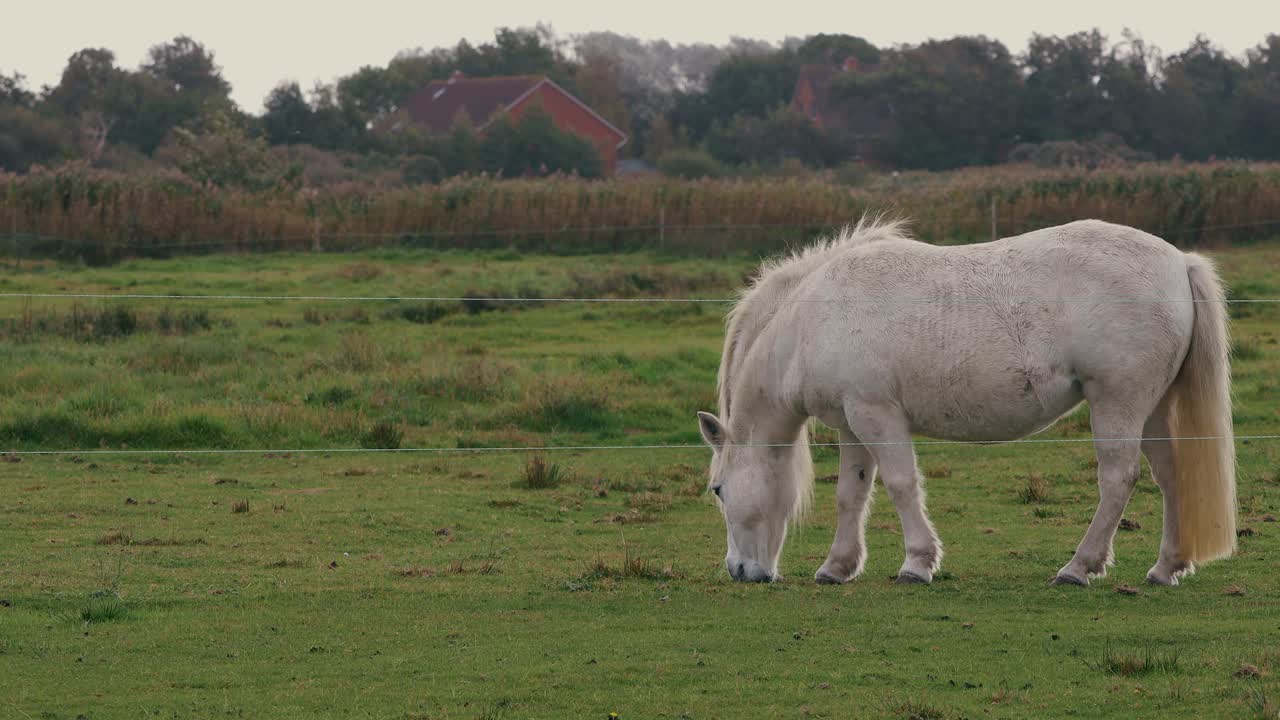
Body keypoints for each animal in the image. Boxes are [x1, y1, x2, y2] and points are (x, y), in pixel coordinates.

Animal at [697, 217, 1235, 587]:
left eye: (718, 490)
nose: (738, 569)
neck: (812, 318)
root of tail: (1179, 262)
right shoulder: (853, 424)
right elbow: (852, 493)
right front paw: (838, 566)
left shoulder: (877, 414)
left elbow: (900, 485)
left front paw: (917, 563)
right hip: (1153, 408)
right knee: (1170, 476)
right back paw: (1166, 567)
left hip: (1117, 404)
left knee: (1118, 479)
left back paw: (1078, 567)